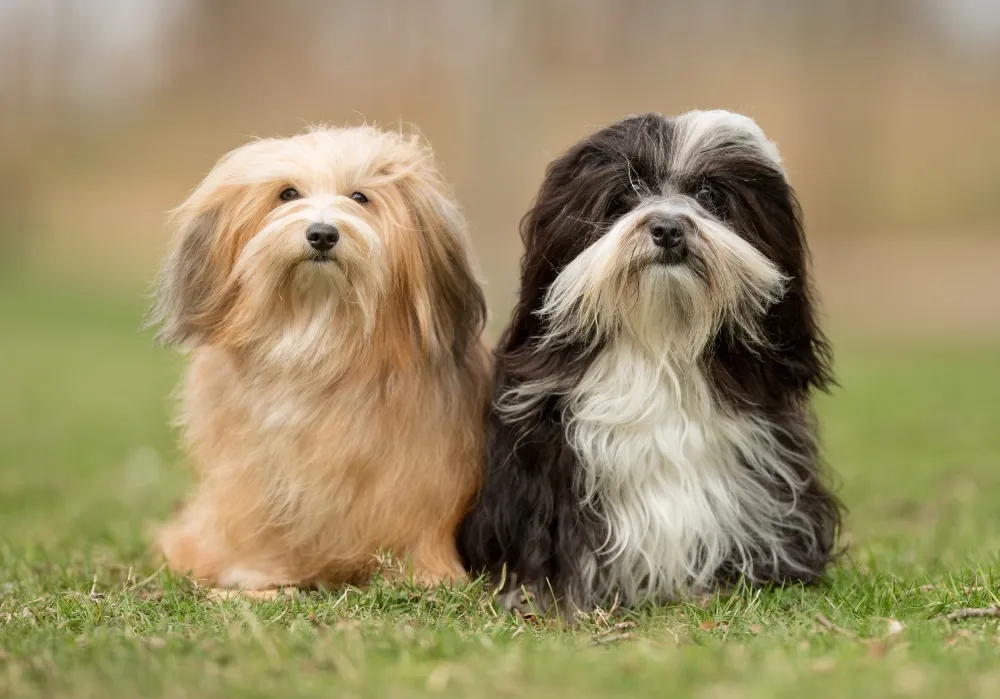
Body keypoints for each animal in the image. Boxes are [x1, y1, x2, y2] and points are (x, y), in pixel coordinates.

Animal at [147, 126, 488, 592]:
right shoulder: (250, 471)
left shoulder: (423, 468)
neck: (319, 332)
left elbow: (419, 521)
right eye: (288, 194)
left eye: (360, 197)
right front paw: (259, 572)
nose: (323, 234)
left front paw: (425, 575)